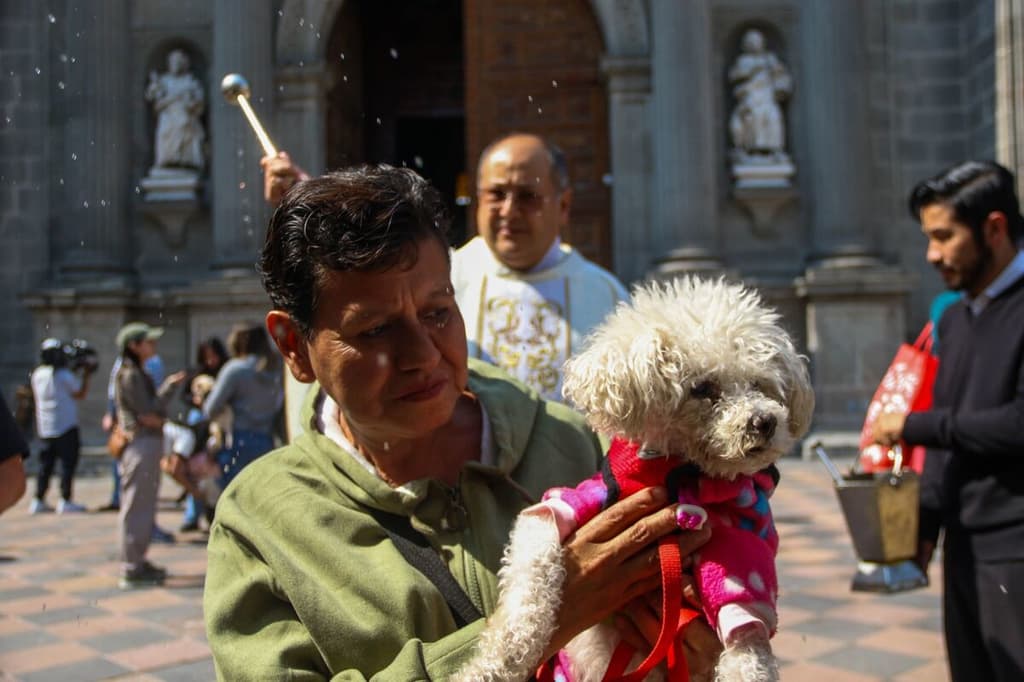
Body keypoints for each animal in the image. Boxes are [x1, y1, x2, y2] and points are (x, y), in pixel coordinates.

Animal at [456, 276, 815, 679]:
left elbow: (746, 638)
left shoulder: (739, 555)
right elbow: (530, 583)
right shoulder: (564, 505)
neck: (679, 473)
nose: (764, 421)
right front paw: (492, 663)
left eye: (759, 384)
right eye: (702, 388)